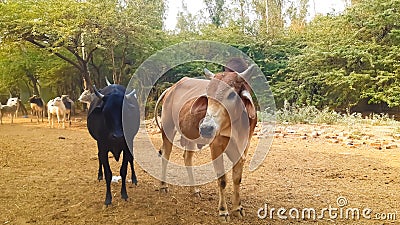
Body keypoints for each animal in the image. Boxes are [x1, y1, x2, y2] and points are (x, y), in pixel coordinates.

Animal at [155, 63, 258, 221]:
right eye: (208, 95)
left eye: (232, 94)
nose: (206, 128)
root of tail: (171, 88)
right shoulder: (216, 147)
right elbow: (222, 179)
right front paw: (223, 211)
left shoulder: (244, 147)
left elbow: (237, 178)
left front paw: (238, 207)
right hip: (168, 128)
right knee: (165, 155)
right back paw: (163, 186)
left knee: (187, 158)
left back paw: (194, 190)